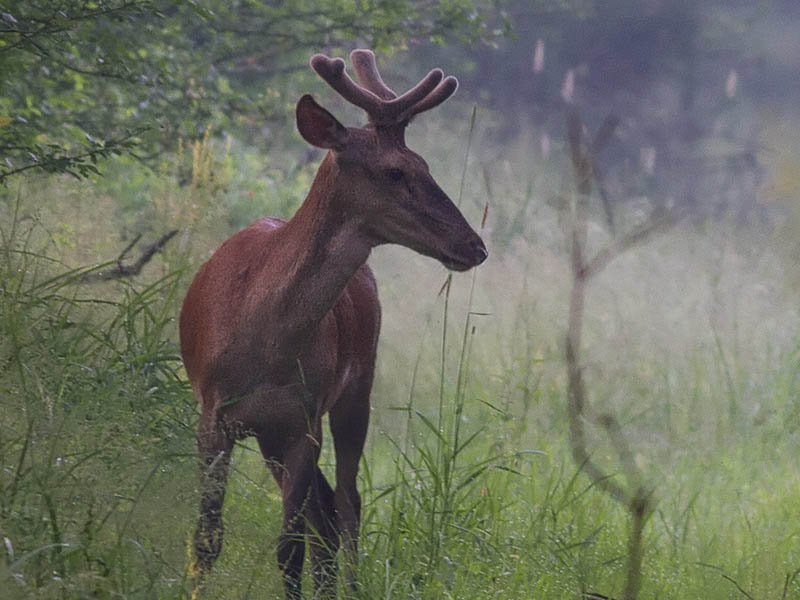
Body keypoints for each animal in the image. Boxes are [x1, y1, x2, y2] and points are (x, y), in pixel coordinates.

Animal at [178, 49, 484, 596]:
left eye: (425, 165)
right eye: (395, 172)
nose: (475, 245)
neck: (265, 344)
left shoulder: (304, 418)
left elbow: (289, 546)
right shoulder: (214, 412)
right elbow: (207, 537)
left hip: (354, 393)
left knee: (345, 503)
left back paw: (350, 586)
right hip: (274, 433)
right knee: (326, 510)